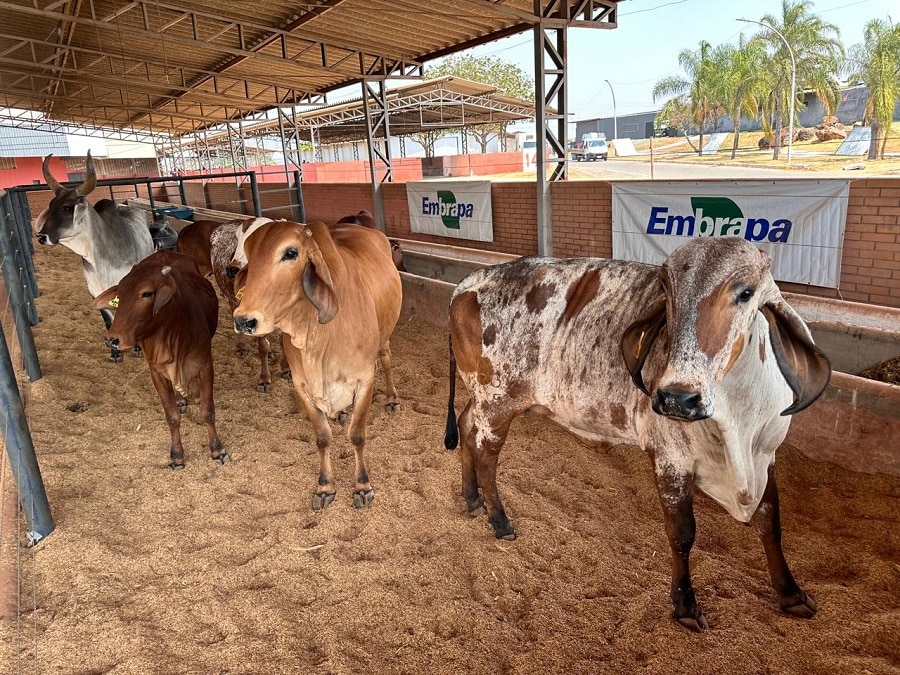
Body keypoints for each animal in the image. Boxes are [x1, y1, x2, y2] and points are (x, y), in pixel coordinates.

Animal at [35, 151, 153, 362]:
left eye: (67, 208)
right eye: (51, 205)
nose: (41, 236)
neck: (101, 260)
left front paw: (138, 348)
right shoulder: (96, 292)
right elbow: (108, 321)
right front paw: (115, 353)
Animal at [90, 250, 225, 470]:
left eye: (146, 293)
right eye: (120, 294)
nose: (112, 339)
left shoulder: (206, 364)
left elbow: (207, 410)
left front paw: (218, 450)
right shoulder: (156, 372)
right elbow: (172, 416)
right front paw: (177, 455)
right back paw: (181, 399)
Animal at [234, 219, 402, 510]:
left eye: (291, 253)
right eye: (250, 254)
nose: (244, 320)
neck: (319, 338)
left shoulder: (365, 379)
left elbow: (357, 435)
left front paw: (362, 486)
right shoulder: (302, 385)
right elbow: (322, 437)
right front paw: (324, 487)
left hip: (384, 338)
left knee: (387, 359)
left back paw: (391, 398)